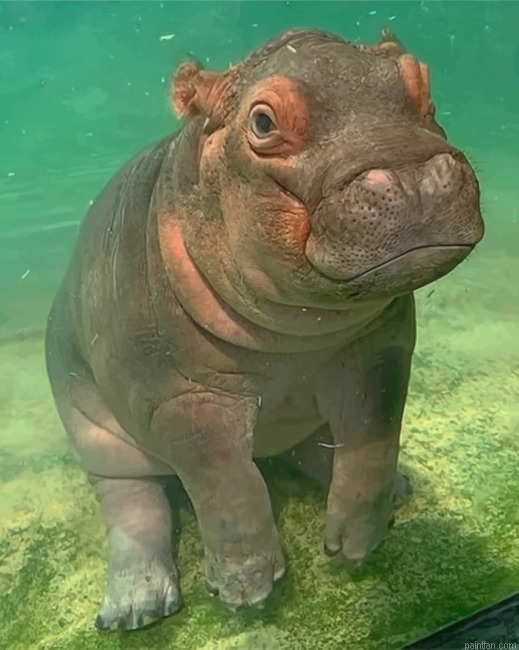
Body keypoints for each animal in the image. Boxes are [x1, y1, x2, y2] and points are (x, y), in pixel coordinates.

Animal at [45, 28, 484, 631]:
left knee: (316, 450)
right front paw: (247, 592)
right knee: (133, 504)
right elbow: (226, 482)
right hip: (95, 431)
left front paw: (355, 546)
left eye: (421, 80)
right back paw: (136, 607)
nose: (411, 176)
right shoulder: (177, 400)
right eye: (262, 122)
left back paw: (398, 489)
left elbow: (371, 444)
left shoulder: (379, 354)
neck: (295, 337)